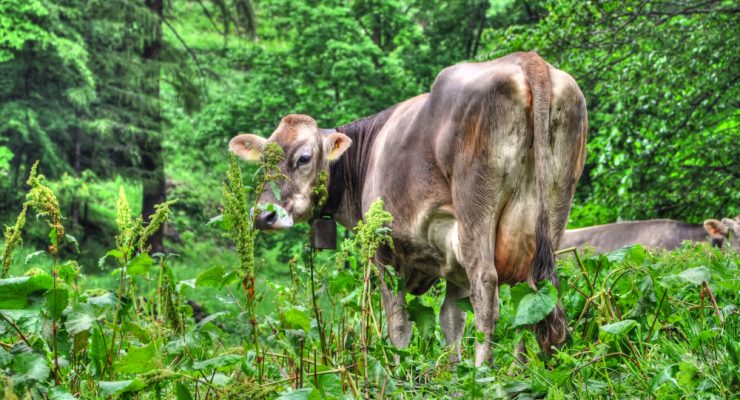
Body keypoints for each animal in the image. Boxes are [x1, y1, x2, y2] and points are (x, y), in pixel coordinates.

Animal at [229, 52, 588, 365]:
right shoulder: (452, 262)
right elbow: (451, 320)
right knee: (532, 298)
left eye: (304, 158)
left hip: (475, 210)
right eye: (263, 162)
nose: (263, 215)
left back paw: (483, 373)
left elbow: (399, 322)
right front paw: (452, 375)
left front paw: (401, 371)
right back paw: (520, 373)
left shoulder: (384, 251)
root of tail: (528, 60)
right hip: (550, 211)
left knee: (487, 290)